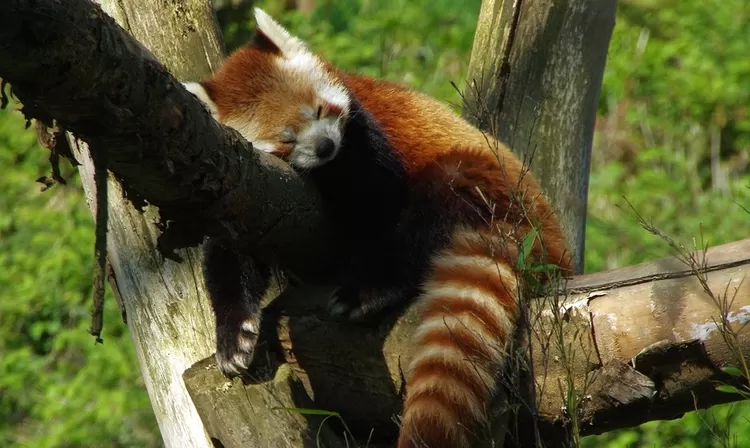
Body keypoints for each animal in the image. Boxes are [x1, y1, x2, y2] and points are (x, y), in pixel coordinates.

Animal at [185, 7, 572, 448]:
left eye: (320, 111)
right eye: (287, 139)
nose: (325, 147)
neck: (326, 172)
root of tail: (544, 233)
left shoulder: (364, 136)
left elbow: (377, 202)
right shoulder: (246, 191)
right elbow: (230, 256)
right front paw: (234, 336)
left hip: (478, 181)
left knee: (422, 220)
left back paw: (370, 289)